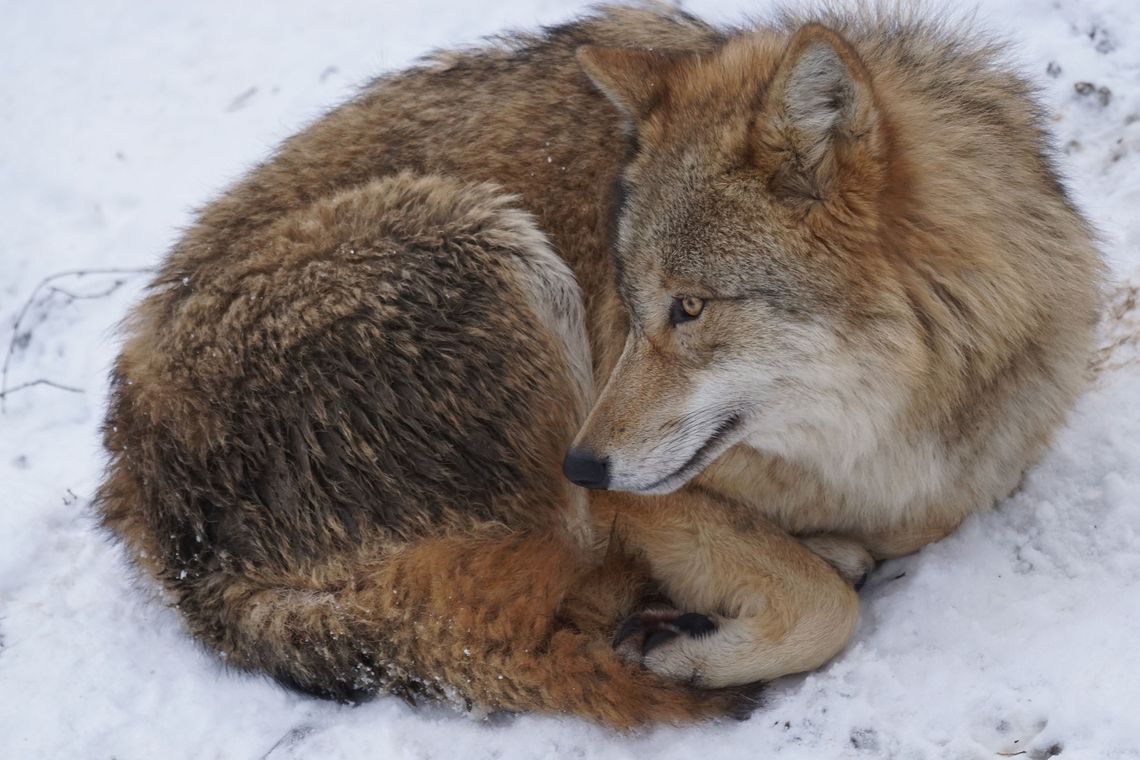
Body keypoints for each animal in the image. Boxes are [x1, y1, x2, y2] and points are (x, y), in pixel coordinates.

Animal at [98, 1, 1103, 724]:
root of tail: (151, 508)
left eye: (689, 307)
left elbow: (885, 543)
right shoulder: (643, 501)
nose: (580, 461)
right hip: (488, 236)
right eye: (630, 298)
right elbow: (826, 608)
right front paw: (703, 649)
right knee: (543, 591)